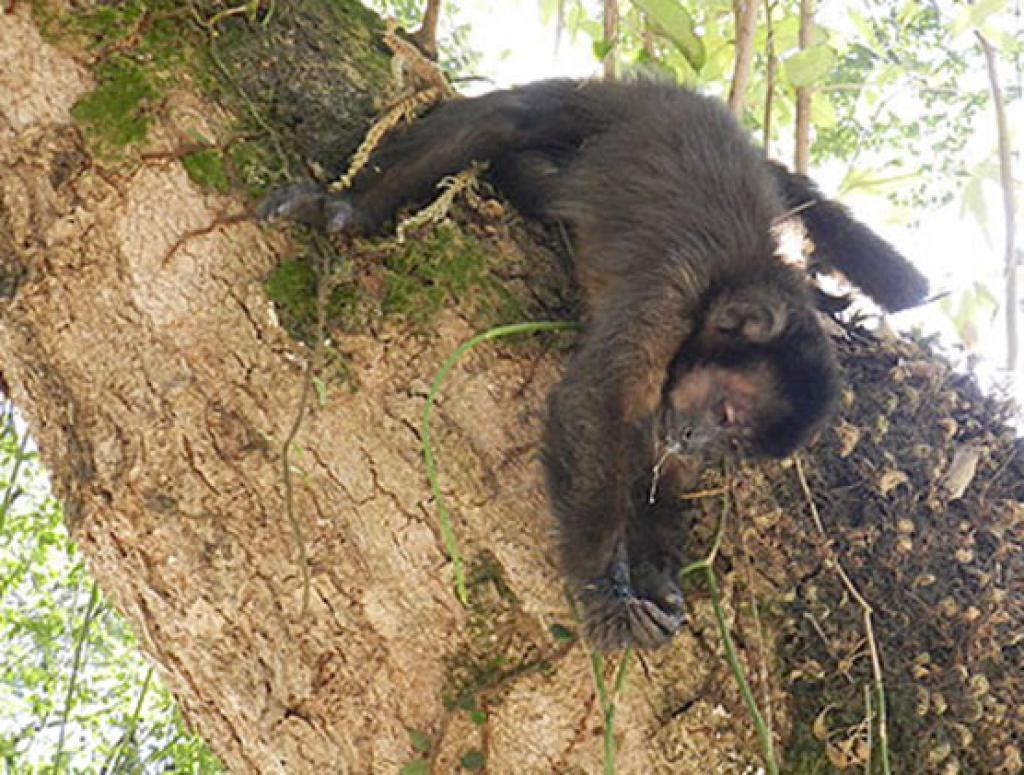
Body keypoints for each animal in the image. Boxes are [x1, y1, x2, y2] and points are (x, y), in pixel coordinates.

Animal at [258, 78, 929, 651]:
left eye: (733, 439)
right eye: (727, 411)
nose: (698, 438)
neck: (732, 284)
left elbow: (661, 470)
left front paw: (658, 578)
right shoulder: (665, 304)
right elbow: (595, 407)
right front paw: (606, 594)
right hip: (624, 99)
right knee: (514, 120)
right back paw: (355, 205)